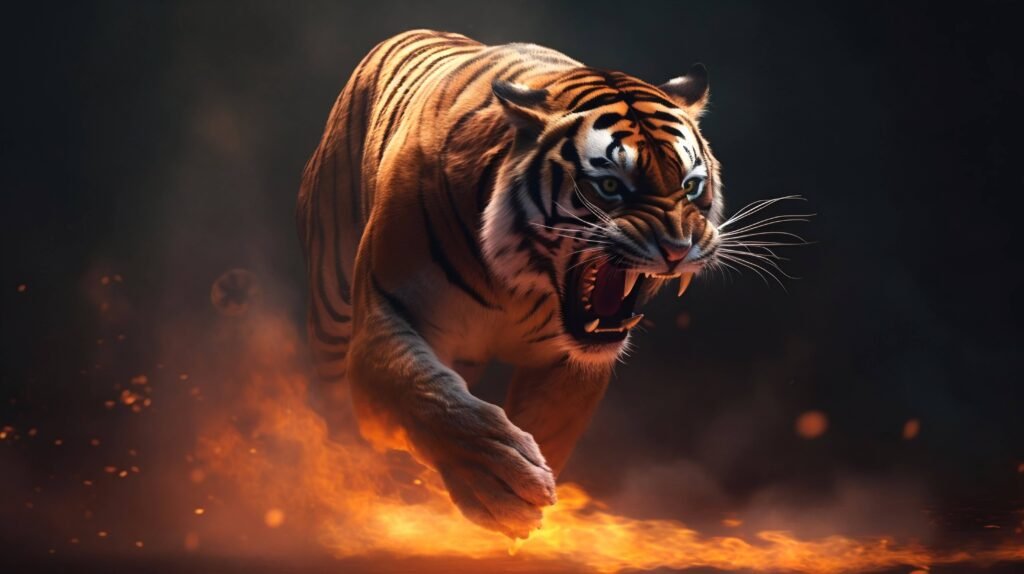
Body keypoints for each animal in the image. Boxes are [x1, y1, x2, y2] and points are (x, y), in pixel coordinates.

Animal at [296, 29, 722, 539]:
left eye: (691, 185)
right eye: (610, 187)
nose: (678, 248)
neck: (515, 284)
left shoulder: (570, 362)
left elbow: (546, 424)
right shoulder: (384, 315)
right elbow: (428, 394)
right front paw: (500, 485)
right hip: (332, 316)